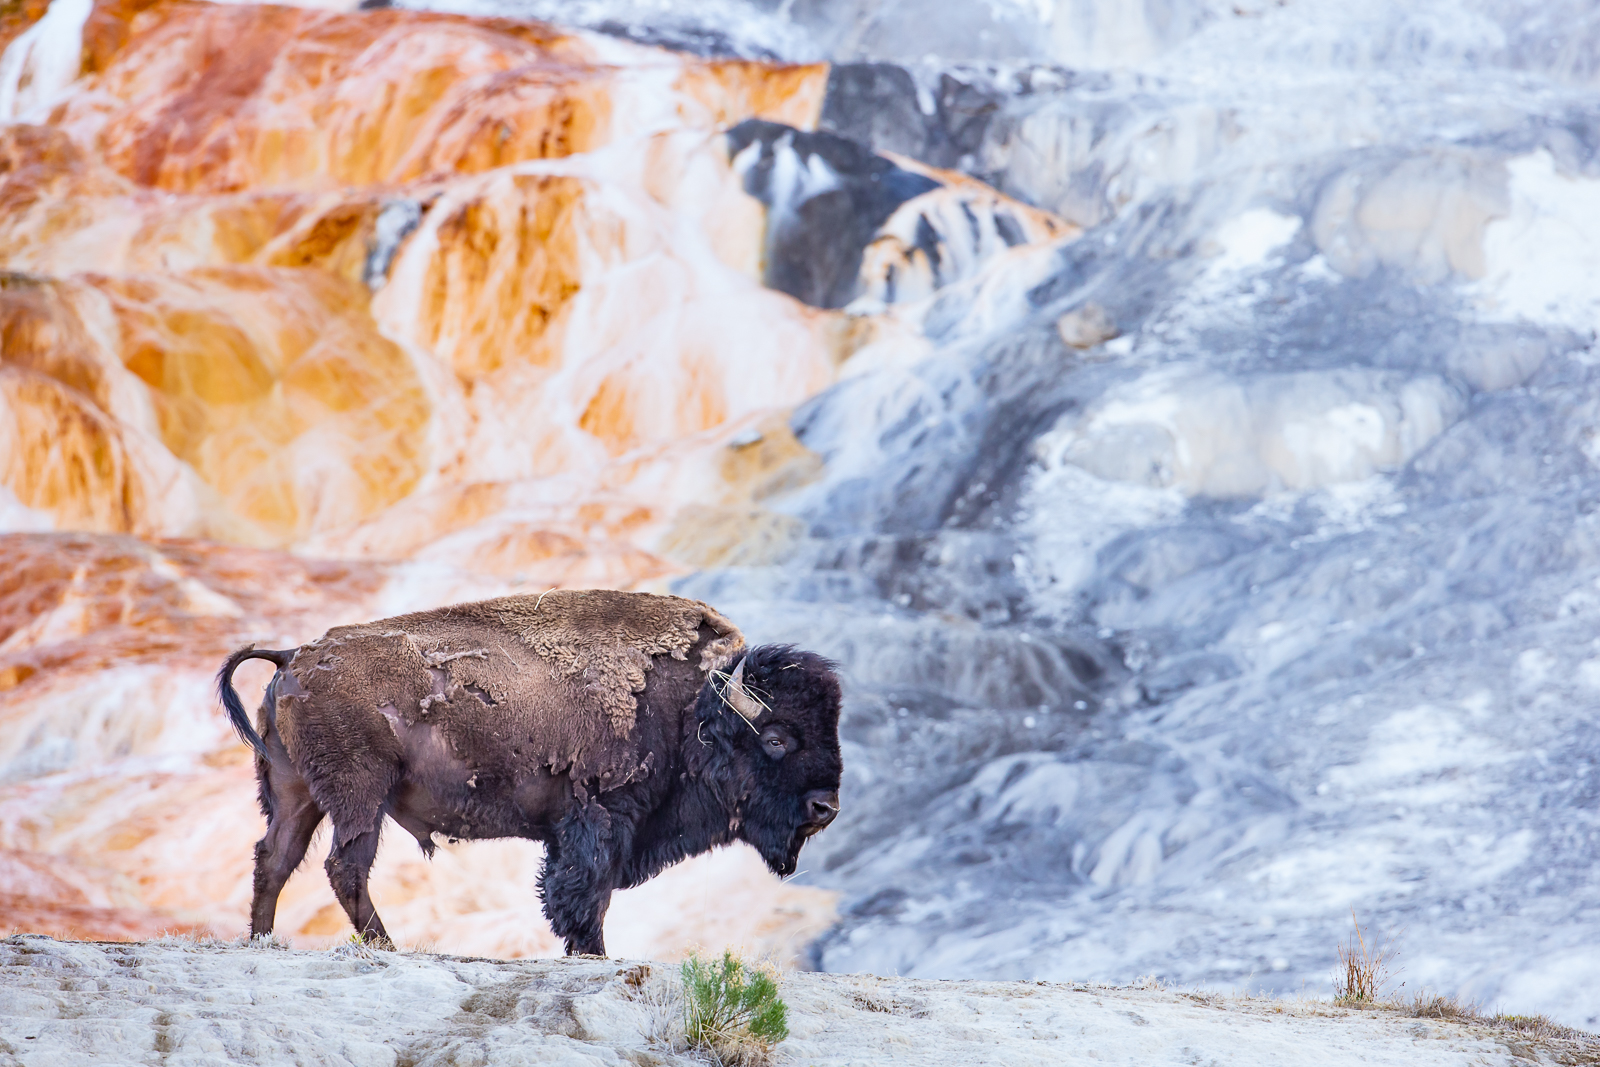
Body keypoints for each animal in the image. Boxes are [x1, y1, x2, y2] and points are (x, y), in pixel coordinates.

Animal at [219, 588, 844, 953]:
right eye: (777, 738)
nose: (826, 808)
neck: (694, 708)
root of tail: (292, 655)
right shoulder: (599, 820)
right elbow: (584, 900)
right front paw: (593, 955)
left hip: (296, 792)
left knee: (274, 858)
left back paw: (261, 942)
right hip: (360, 794)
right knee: (344, 866)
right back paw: (385, 948)